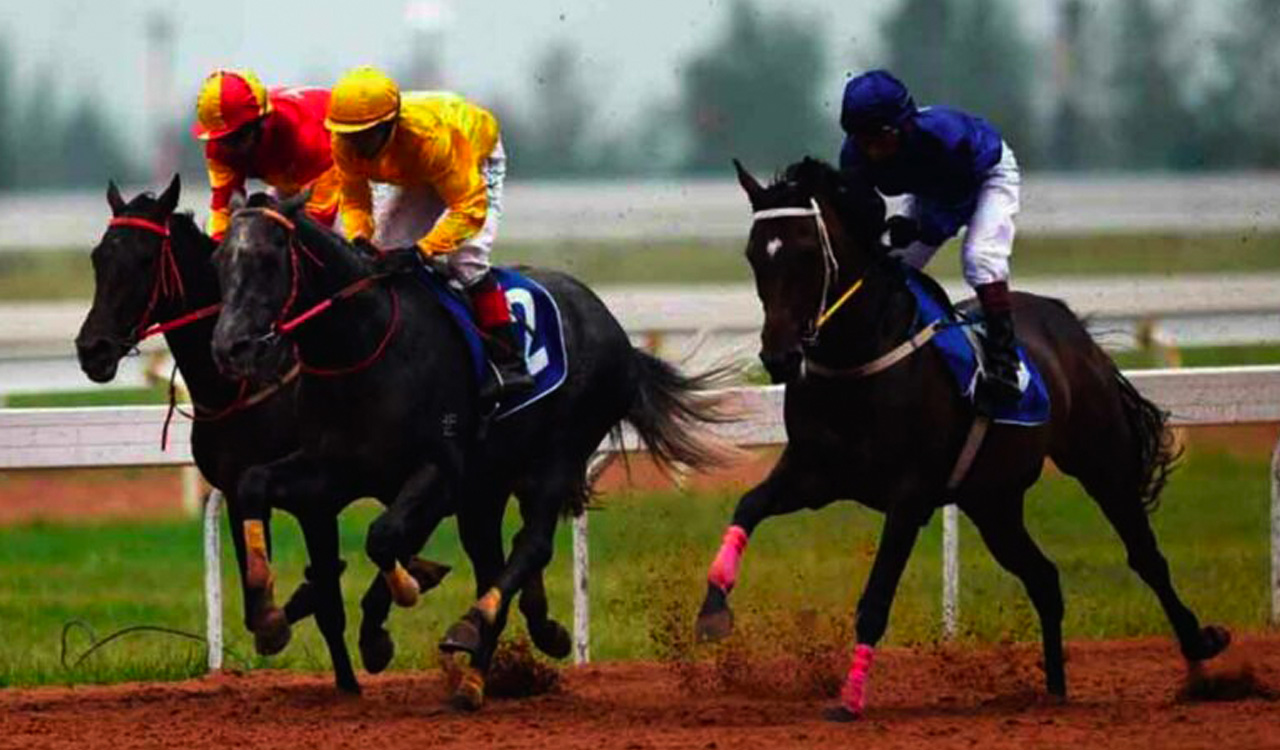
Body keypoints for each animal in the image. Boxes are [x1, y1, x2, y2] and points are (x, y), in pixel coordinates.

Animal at [73, 177, 560, 694]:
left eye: (145, 259)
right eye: (98, 257)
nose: (92, 349)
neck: (247, 386)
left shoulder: (317, 501)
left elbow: (327, 591)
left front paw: (348, 663)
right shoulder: (242, 489)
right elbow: (268, 594)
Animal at [210, 191, 734, 709]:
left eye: (268, 257)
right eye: (221, 258)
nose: (229, 348)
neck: (363, 346)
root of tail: (616, 331)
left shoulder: (440, 475)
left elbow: (384, 536)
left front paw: (392, 610)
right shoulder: (334, 470)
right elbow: (254, 483)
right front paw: (270, 616)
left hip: (557, 457)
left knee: (530, 546)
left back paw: (474, 627)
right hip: (487, 490)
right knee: (493, 564)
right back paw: (485, 671)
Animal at [693, 157, 1230, 721]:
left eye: (804, 250)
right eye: (755, 254)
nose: (778, 358)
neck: (859, 361)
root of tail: (1070, 324)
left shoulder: (909, 496)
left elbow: (875, 598)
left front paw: (851, 696)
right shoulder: (814, 473)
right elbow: (748, 505)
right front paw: (713, 610)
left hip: (1098, 459)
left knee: (1145, 556)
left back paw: (1200, 648)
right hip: (993, 501)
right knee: (1044, 578)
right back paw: (1054, 688)